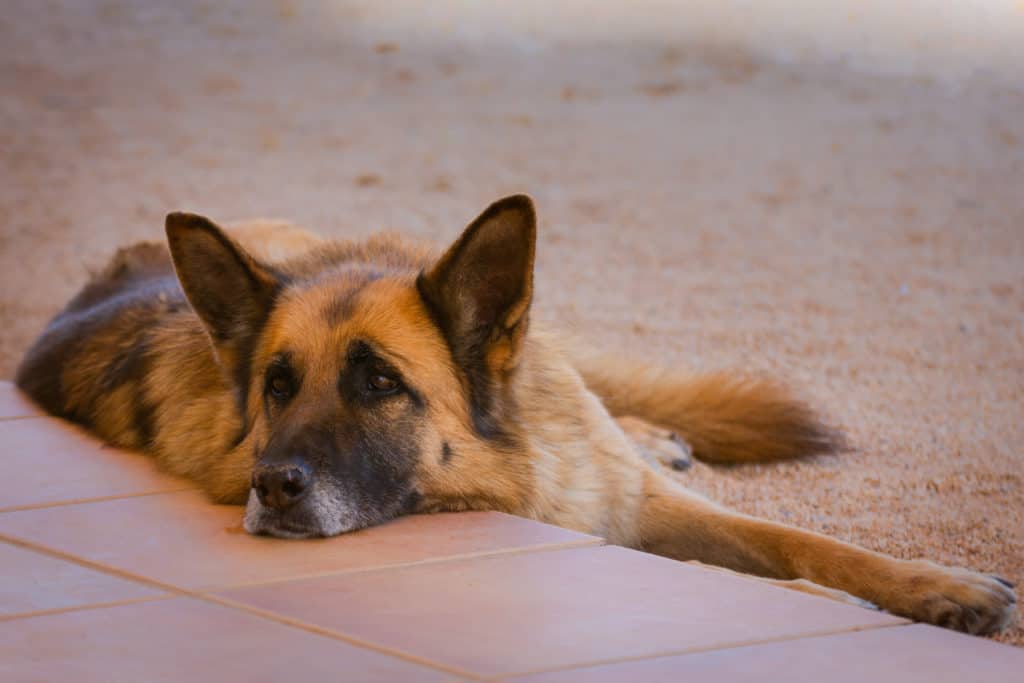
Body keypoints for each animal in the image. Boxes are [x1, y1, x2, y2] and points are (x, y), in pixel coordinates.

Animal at [14, 196, 1015, 634]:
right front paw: (846, 600)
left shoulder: (644, 504)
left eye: (379, 383)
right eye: (276, 385)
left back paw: (654, 430)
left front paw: (932, 582)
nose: (268, 488)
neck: (519, 452)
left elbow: (805, 540)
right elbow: (749, 575)